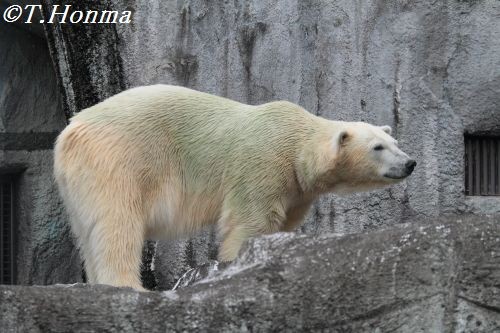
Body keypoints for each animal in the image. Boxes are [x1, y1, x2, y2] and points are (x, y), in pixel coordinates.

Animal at [52, 84, 416, 290]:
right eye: (377, 147)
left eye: (394, 142)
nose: (410, 162)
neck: (297, 146)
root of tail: (71, 131)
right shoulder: (263, 164)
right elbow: (249, 221)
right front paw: (237, 264)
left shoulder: (296, 190)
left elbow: (280, 224)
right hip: (120, 160)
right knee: (118, 223)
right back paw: (130, 287)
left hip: (78, 182)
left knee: (89, 231)